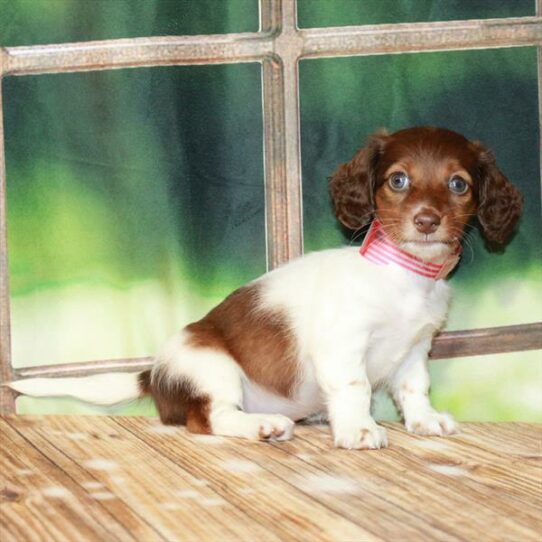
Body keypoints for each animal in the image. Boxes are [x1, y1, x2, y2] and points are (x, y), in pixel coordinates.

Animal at [8, 127, 524, 450]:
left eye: (458, 184)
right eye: (398, 180)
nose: (427, 221)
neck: (403, 276)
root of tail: (153, 374)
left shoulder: (416, 348)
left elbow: (415, 388)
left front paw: (424, 422)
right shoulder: (343, 346)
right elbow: (356, 387)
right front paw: (358, 429)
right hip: (211, 367)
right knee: (210, 419)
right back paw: (263, 425)